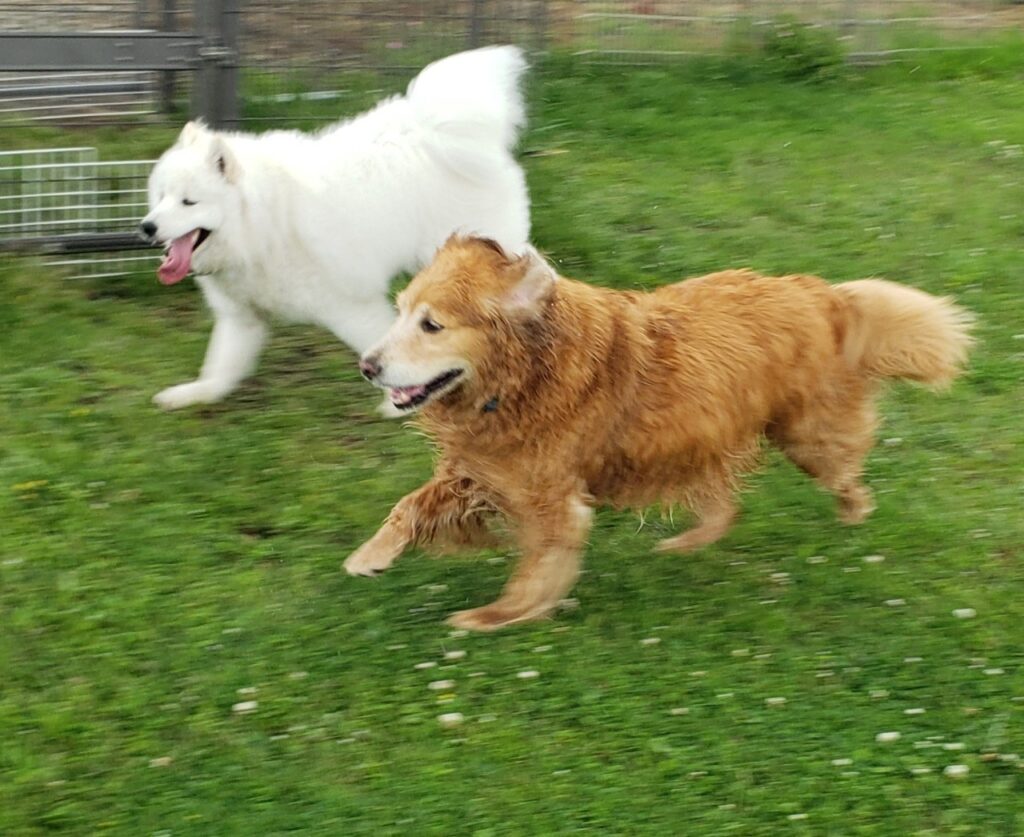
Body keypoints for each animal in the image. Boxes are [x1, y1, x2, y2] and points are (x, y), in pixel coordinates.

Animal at [139, 46, 530, 410]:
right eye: (161, 196)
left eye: (189, 202)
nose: (146, 227)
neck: (262, 226)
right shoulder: (242, 319)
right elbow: (220, 368)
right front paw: (194, 394)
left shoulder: (350, 307)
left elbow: (386, 349)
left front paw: (398, 403)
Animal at [346, 236, 974, 631]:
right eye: (400, 312)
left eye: (432, 324)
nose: (368, 367)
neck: (527, 373)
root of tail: (824, 294)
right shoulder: (486, 467)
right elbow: (411, 504)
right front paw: (369, 555)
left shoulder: (549, 499)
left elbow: (536, 568)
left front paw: (496, 616)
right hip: (705, 441)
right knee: (725, 506)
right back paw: (686, 545)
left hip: (805, 437)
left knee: (846, 478)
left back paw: (852, 514)